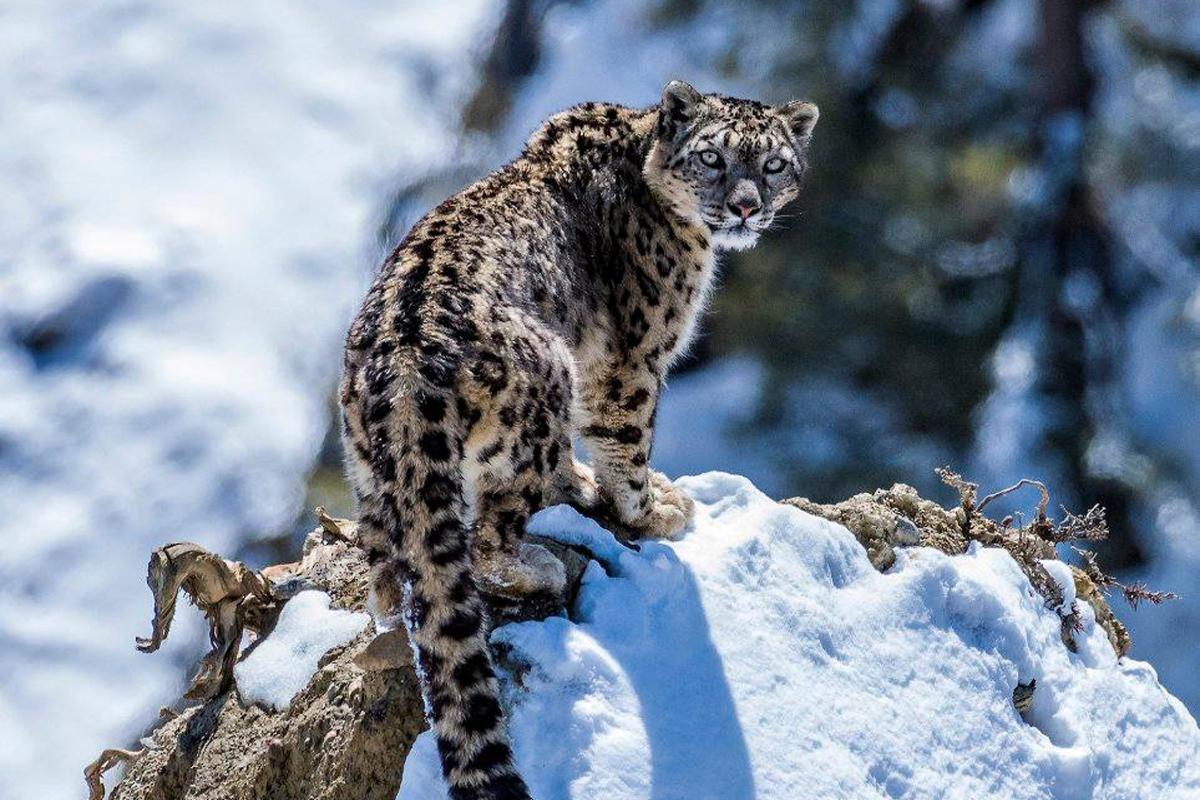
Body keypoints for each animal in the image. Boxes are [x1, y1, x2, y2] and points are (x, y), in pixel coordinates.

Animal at [343, 77, 820, 796]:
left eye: (773, 164)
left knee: (392, 576)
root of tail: (405, 368)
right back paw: (538, 562)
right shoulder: (631, 361)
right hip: (546, 384)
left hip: (370, 474)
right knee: (489, 538)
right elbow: (628, 441)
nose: (746, 206)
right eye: (712, 158)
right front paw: (652, 511)